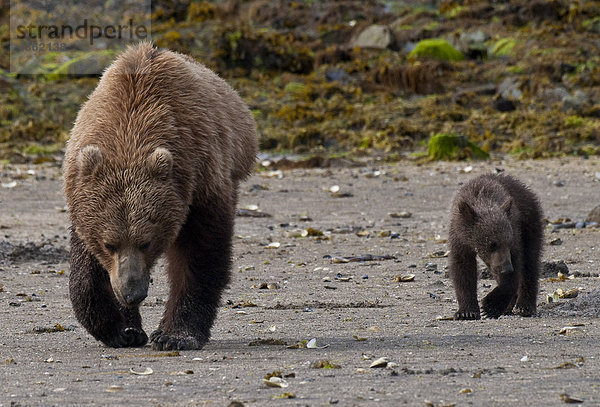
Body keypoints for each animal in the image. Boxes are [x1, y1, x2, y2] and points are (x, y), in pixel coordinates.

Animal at [63, 43, 258, 350]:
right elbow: (87, 267)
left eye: (146, 242)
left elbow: (198, 257)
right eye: (109, 244)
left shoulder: (200, 184)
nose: (132, 292)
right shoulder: (84, 194)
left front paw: (176, 334)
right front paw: (120, 329)